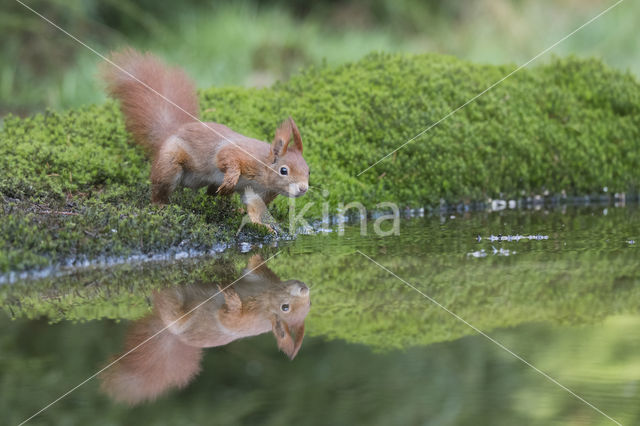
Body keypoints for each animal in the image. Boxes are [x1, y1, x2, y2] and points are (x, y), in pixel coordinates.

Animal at [100, 49, 310, 226]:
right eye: (284, 170)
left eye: (308, 171)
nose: (303, 188)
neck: (263, 168)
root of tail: (171, 133)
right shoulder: (239, 153)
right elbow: (225, 157)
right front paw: (231, 178)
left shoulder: (260, 192)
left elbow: (255, 209)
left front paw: (262, 225)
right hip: (169, 164)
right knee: (161, 187)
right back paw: (161, 204)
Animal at [100, 255, 310, 404]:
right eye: (286, 307)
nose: (305, 288)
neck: (265, 295)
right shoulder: (259, 275)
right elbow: (255, 262)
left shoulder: (242, 322)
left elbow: (227, 318)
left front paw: (232, 299)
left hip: (177, 315)